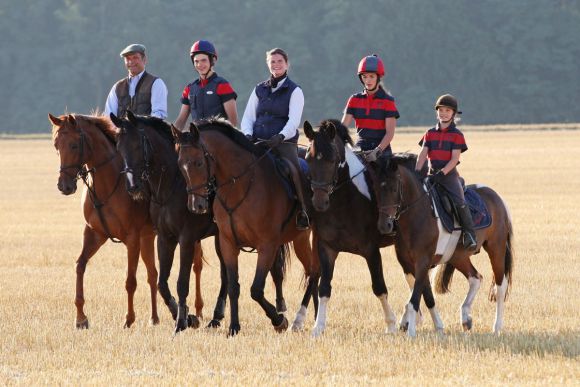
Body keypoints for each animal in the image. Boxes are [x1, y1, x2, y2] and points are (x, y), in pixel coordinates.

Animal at [48, 113, 159, 328]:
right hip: (148, 237)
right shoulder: (95, 234)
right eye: (56, 145)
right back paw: (155, 318)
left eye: (74, 145)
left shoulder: (132, 238)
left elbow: (130, 280)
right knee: (153, 274)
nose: (64, 186)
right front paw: (81, 318)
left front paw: (128, 319)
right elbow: (80, 266)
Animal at [172, 119, 320, 334]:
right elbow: (234, 286)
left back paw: (307, 318)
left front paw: (279, 321)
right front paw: (234, 326)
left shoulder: (266, 245)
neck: (239, 186)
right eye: (180, 166)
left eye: (198, 162)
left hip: (303, 238)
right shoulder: (228, 244)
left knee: (313, 272)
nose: (196, 206)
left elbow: (256, 290)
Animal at [304, 119, 444, 338]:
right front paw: (318, 327)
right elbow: (324, 287)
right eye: (308, 159)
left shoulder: (371, 250)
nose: (319, 202)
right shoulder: (327, 248)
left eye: (332, 159)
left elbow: (379, 287)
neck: (344, 201)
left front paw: (391, 324)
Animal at [370, 155, 516, 336]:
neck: (417, 215)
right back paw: (465, 317)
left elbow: (415, 298)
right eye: (376, 189)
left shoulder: (423, 261)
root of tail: (497, 197)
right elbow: (424, 295)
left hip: (496, 248)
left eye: (394, 188)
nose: (385, 226)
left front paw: (411, 331)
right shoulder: (408, 264)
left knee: (500, 286)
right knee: (475, 278)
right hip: (458, 256)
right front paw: (429, 326)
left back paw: (496, 328)